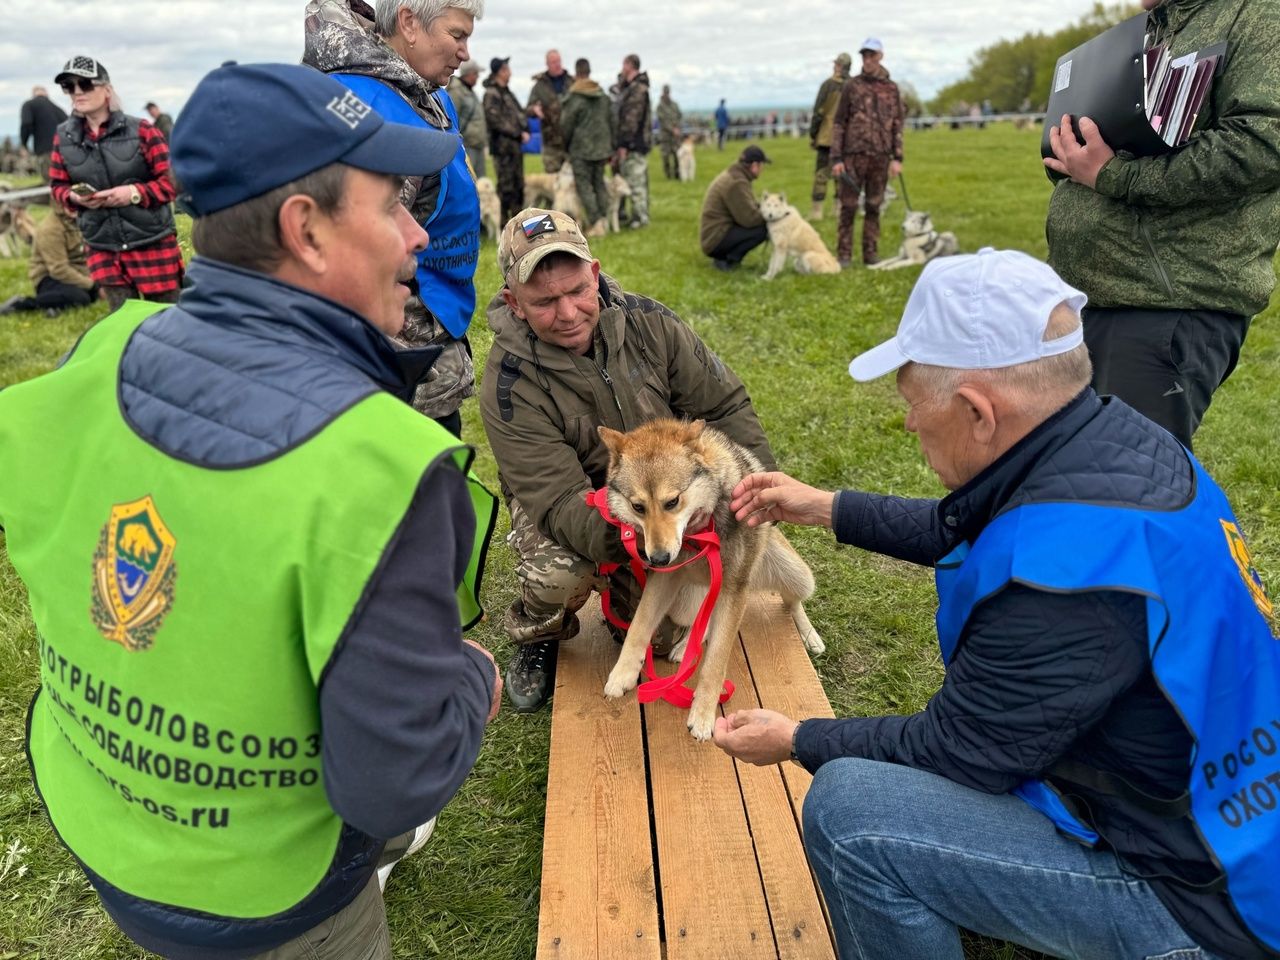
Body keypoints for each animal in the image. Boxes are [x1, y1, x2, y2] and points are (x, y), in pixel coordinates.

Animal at [596, 419, 824, 742]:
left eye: (672, 502)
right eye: (638, 507)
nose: (658, 559)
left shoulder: (735, 587)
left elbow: (716, 661)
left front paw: (703, 714)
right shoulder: (664, 580)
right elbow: (638, 626)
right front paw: (622, 673)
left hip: (797, 575)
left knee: (792, 603)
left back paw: (809, 636)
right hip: (690, 599)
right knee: (701, 619)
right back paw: (685, 646)